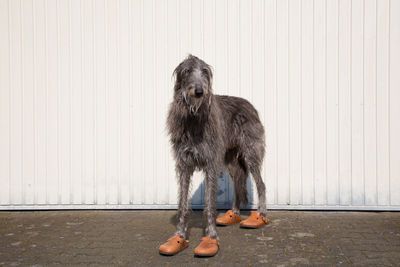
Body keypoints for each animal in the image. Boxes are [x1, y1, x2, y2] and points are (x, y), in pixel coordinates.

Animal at [167, 54, 268, 241]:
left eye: (205, 71)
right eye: (187, 71)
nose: (199, 91)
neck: (194, 118)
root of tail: (249, 104)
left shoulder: (211, 164)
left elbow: (209, 203)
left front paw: (211, 235)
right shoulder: (184, 164)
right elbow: (183, 203)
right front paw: (180, 235)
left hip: (251, 152)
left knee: (261, 184)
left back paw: (261, 215)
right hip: (230, 159)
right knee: (238, 182)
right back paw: (233, 213)